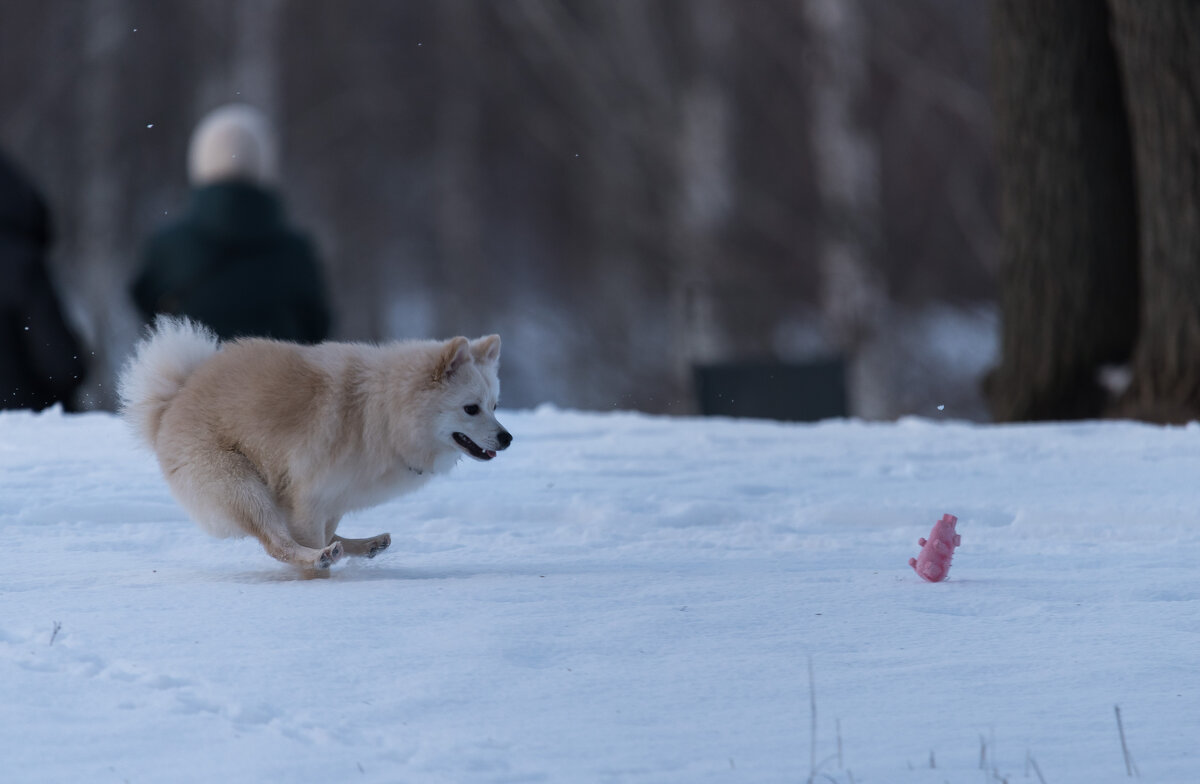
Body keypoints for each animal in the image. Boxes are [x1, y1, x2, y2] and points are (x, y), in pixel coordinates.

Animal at [119, 316, 513, 569]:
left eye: (495, 405)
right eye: (471, 408)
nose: (507, 438)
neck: (383, 411)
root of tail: (172, 401)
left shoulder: (333, 497)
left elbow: (326, 529)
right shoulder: (307, 496)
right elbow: (305, 538)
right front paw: (316, 577)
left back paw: (364, 545)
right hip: (242, 487)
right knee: (277, 543)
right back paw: (321, 558)